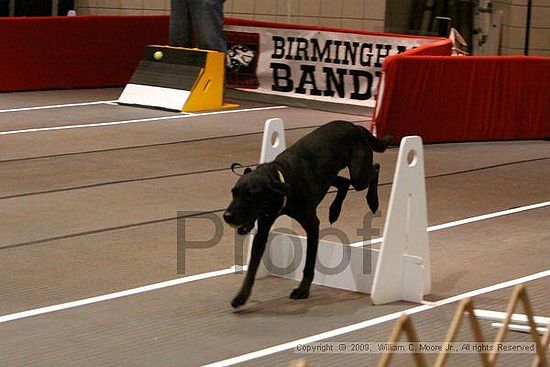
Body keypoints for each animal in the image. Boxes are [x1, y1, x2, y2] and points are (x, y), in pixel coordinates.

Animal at [224, 121, 392, 308]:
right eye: (233, 193)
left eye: (249, 195)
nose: (227, 216)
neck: (281, 179)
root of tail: (355, 126)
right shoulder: (262, 231)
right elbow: (252, 268)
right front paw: (241, 296)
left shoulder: (312, 225)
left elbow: (309, 261)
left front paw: (303, 290)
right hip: (331, 175)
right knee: (344, 182)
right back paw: (334, 211)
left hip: (359, 173)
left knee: (374, 169)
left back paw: (373, 200)